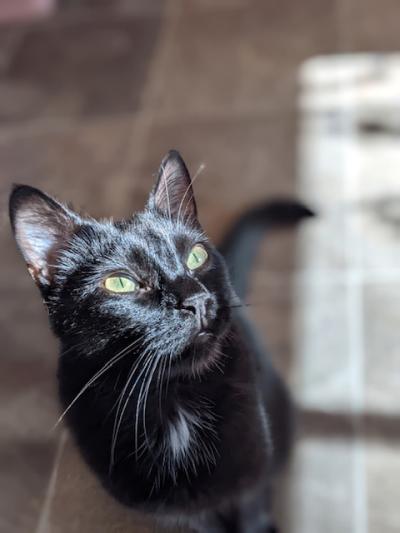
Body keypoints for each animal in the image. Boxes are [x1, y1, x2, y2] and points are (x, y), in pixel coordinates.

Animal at [7, 151, 312, 532]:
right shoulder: (180, 513)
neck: (173, 403)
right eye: (120, 283)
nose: (197, 300)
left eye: (196, 256)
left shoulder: (250, 482)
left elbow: (252, 514)